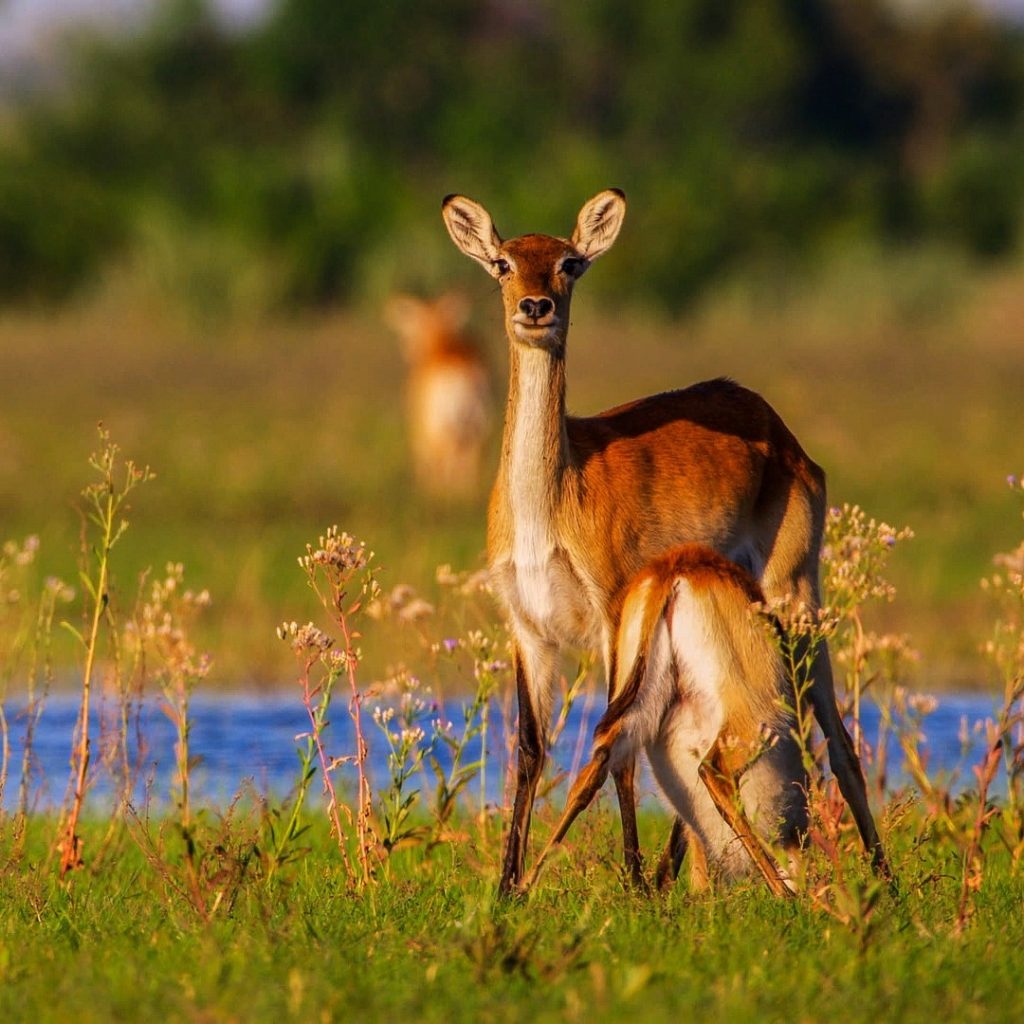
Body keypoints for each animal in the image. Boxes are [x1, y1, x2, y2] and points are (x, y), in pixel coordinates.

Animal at [384, 291, 492, 500]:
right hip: (478, 426)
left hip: (443, 429)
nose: (407, 347)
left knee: (446, 460)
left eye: (415, 323)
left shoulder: (419, 431)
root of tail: (461, 370)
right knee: (470, 460)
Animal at [521, 544, 807, 898]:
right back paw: (784, 893)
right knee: (712, 772)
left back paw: (520, 888)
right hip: (754, 721)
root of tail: (673, 569)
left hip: (640, 708)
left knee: (596, 766)